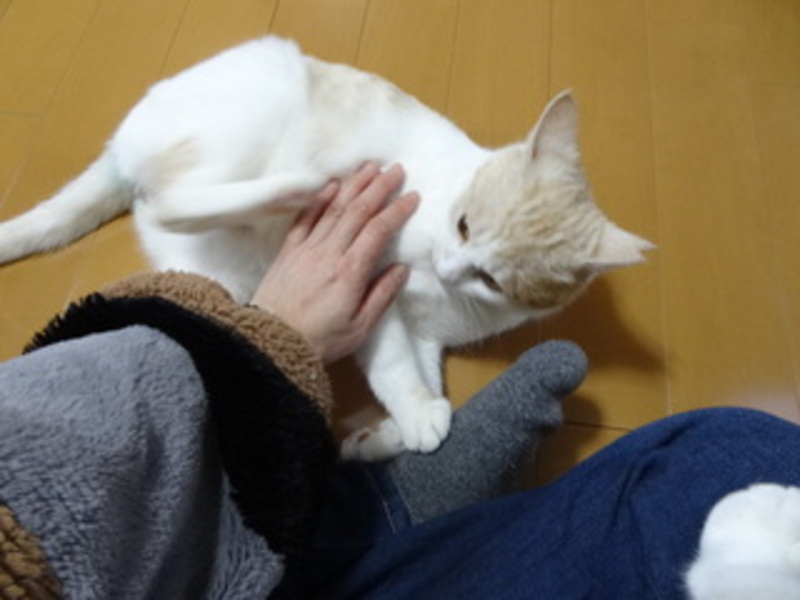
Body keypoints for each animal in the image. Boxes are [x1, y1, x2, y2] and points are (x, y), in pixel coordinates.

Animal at [0, 36, 653, 460]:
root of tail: (122, 152)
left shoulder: (426, 332)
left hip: (224, 275)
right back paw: (301, 188)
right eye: (465, 226)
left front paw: (385, 436)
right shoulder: (375, 285)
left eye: (493, 280)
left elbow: (424, 377)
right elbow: (396, 365)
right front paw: (413, 418)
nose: (446, 267)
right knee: (175, 199)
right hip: (258, 108)